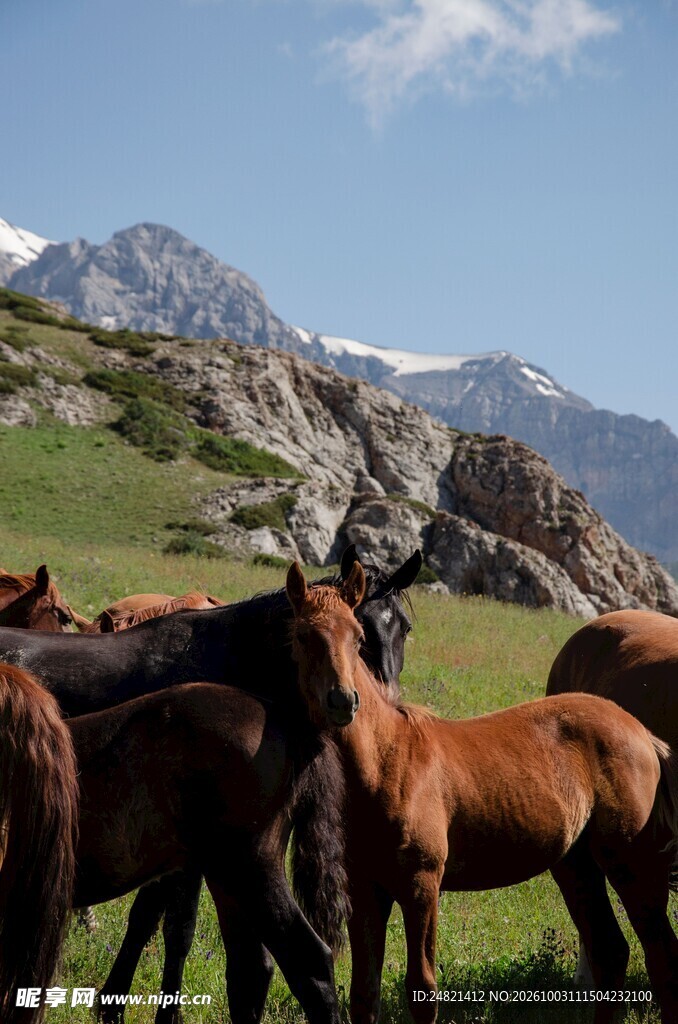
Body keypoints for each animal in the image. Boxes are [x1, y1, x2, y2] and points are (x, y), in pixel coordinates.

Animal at [286, 563, 678, 1024]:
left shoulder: (422, 884)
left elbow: (422, 989)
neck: (386, 761)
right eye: (301, 635)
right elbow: (364, 995)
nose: (343, 701)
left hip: (633, 862)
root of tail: (643, 734)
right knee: (611, 951)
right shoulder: (365, 889)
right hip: (577, 865)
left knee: (660, 954)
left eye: (357, 635)